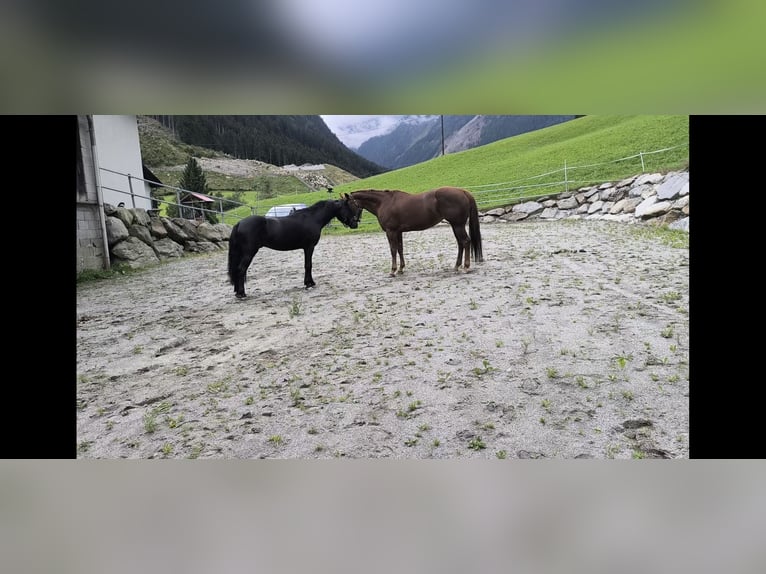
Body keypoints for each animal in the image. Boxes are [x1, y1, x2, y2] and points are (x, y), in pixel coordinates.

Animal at [227, 194, 362, 298]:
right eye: (349, 208)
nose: (355, 224)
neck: (313, 218)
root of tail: (239, 223)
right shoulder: (309, 247)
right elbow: (308, 265)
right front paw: (309, 283)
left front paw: (308, 282)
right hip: (249, 253)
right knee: (241, 270)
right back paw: (242, 294)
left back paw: (237, 292)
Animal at [350, 187, 484, 276]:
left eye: (348, 204)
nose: (351, 224)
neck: (384, 203)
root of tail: (463, 191)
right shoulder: (398, 232)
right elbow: (400, 249)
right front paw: (401, 269)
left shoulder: (390, 231)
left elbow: (393, 250)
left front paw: (393, 270)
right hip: (456, 226)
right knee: (460, 243)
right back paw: (456, 266)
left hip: (458, 225)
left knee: (465, 242)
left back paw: (466, 267)